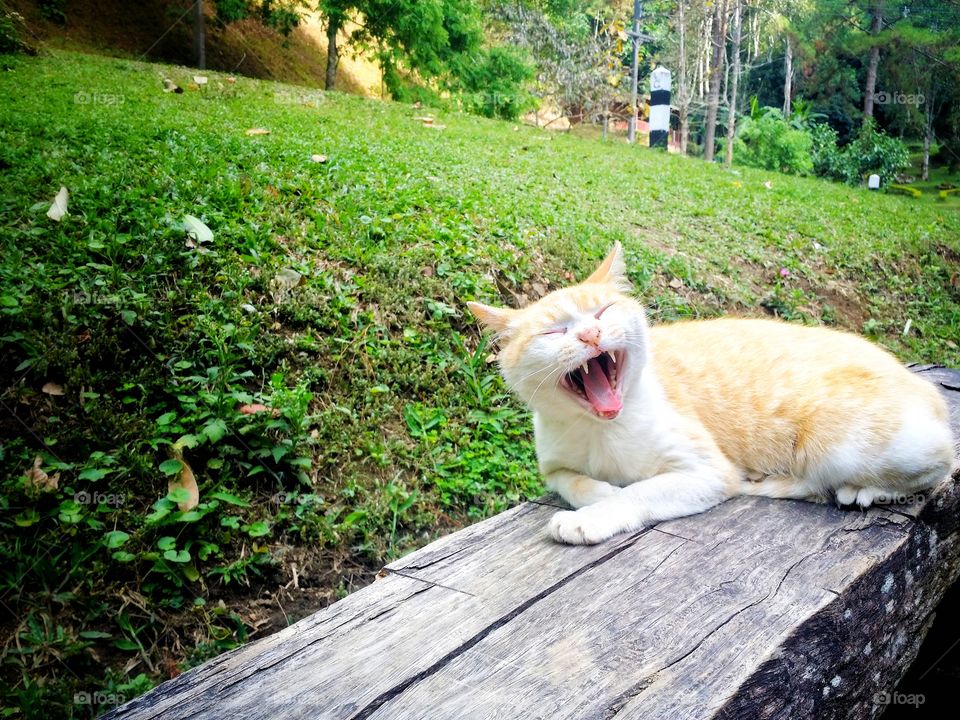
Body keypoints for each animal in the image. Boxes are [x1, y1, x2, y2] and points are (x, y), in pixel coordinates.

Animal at [464, 242, 952, 544]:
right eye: (554, 331)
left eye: (603, 311)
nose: (589, 335)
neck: (602, 431)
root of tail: (922, 388)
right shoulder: (554, 466)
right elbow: (574, 482)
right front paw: (600, 493)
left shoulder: (708, 471)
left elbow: (640, 493)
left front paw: (596, 516)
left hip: (835, 444)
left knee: (942, 465)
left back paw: (853, 489)